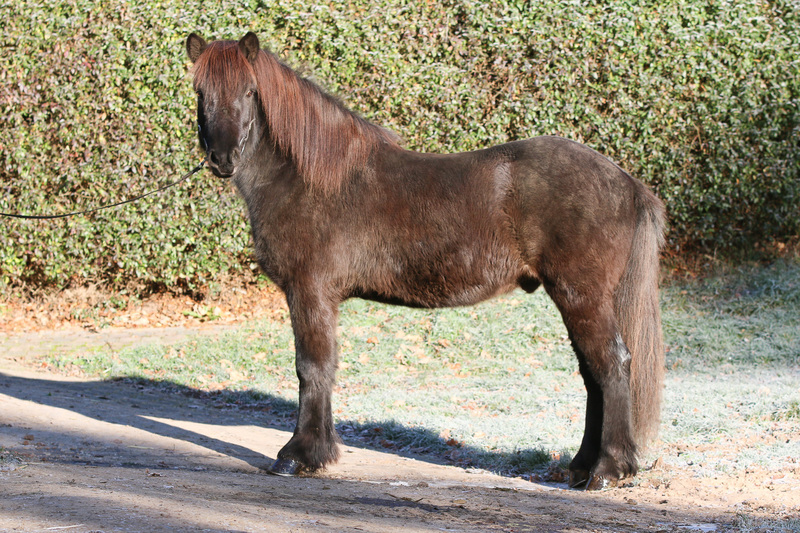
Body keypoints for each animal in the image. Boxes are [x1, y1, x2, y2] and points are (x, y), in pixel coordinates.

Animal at [185, 32, 666, 490]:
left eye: (250, 91)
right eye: (200, 92)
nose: (222, 159)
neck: (310, 178)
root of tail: (627, 183)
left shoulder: (310, 291)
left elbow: (312, 368)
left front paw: (298, 456)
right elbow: (321, 367)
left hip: (581, 296)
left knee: (611, 365)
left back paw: (608, 470)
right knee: (592, 374)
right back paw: (582, 467)